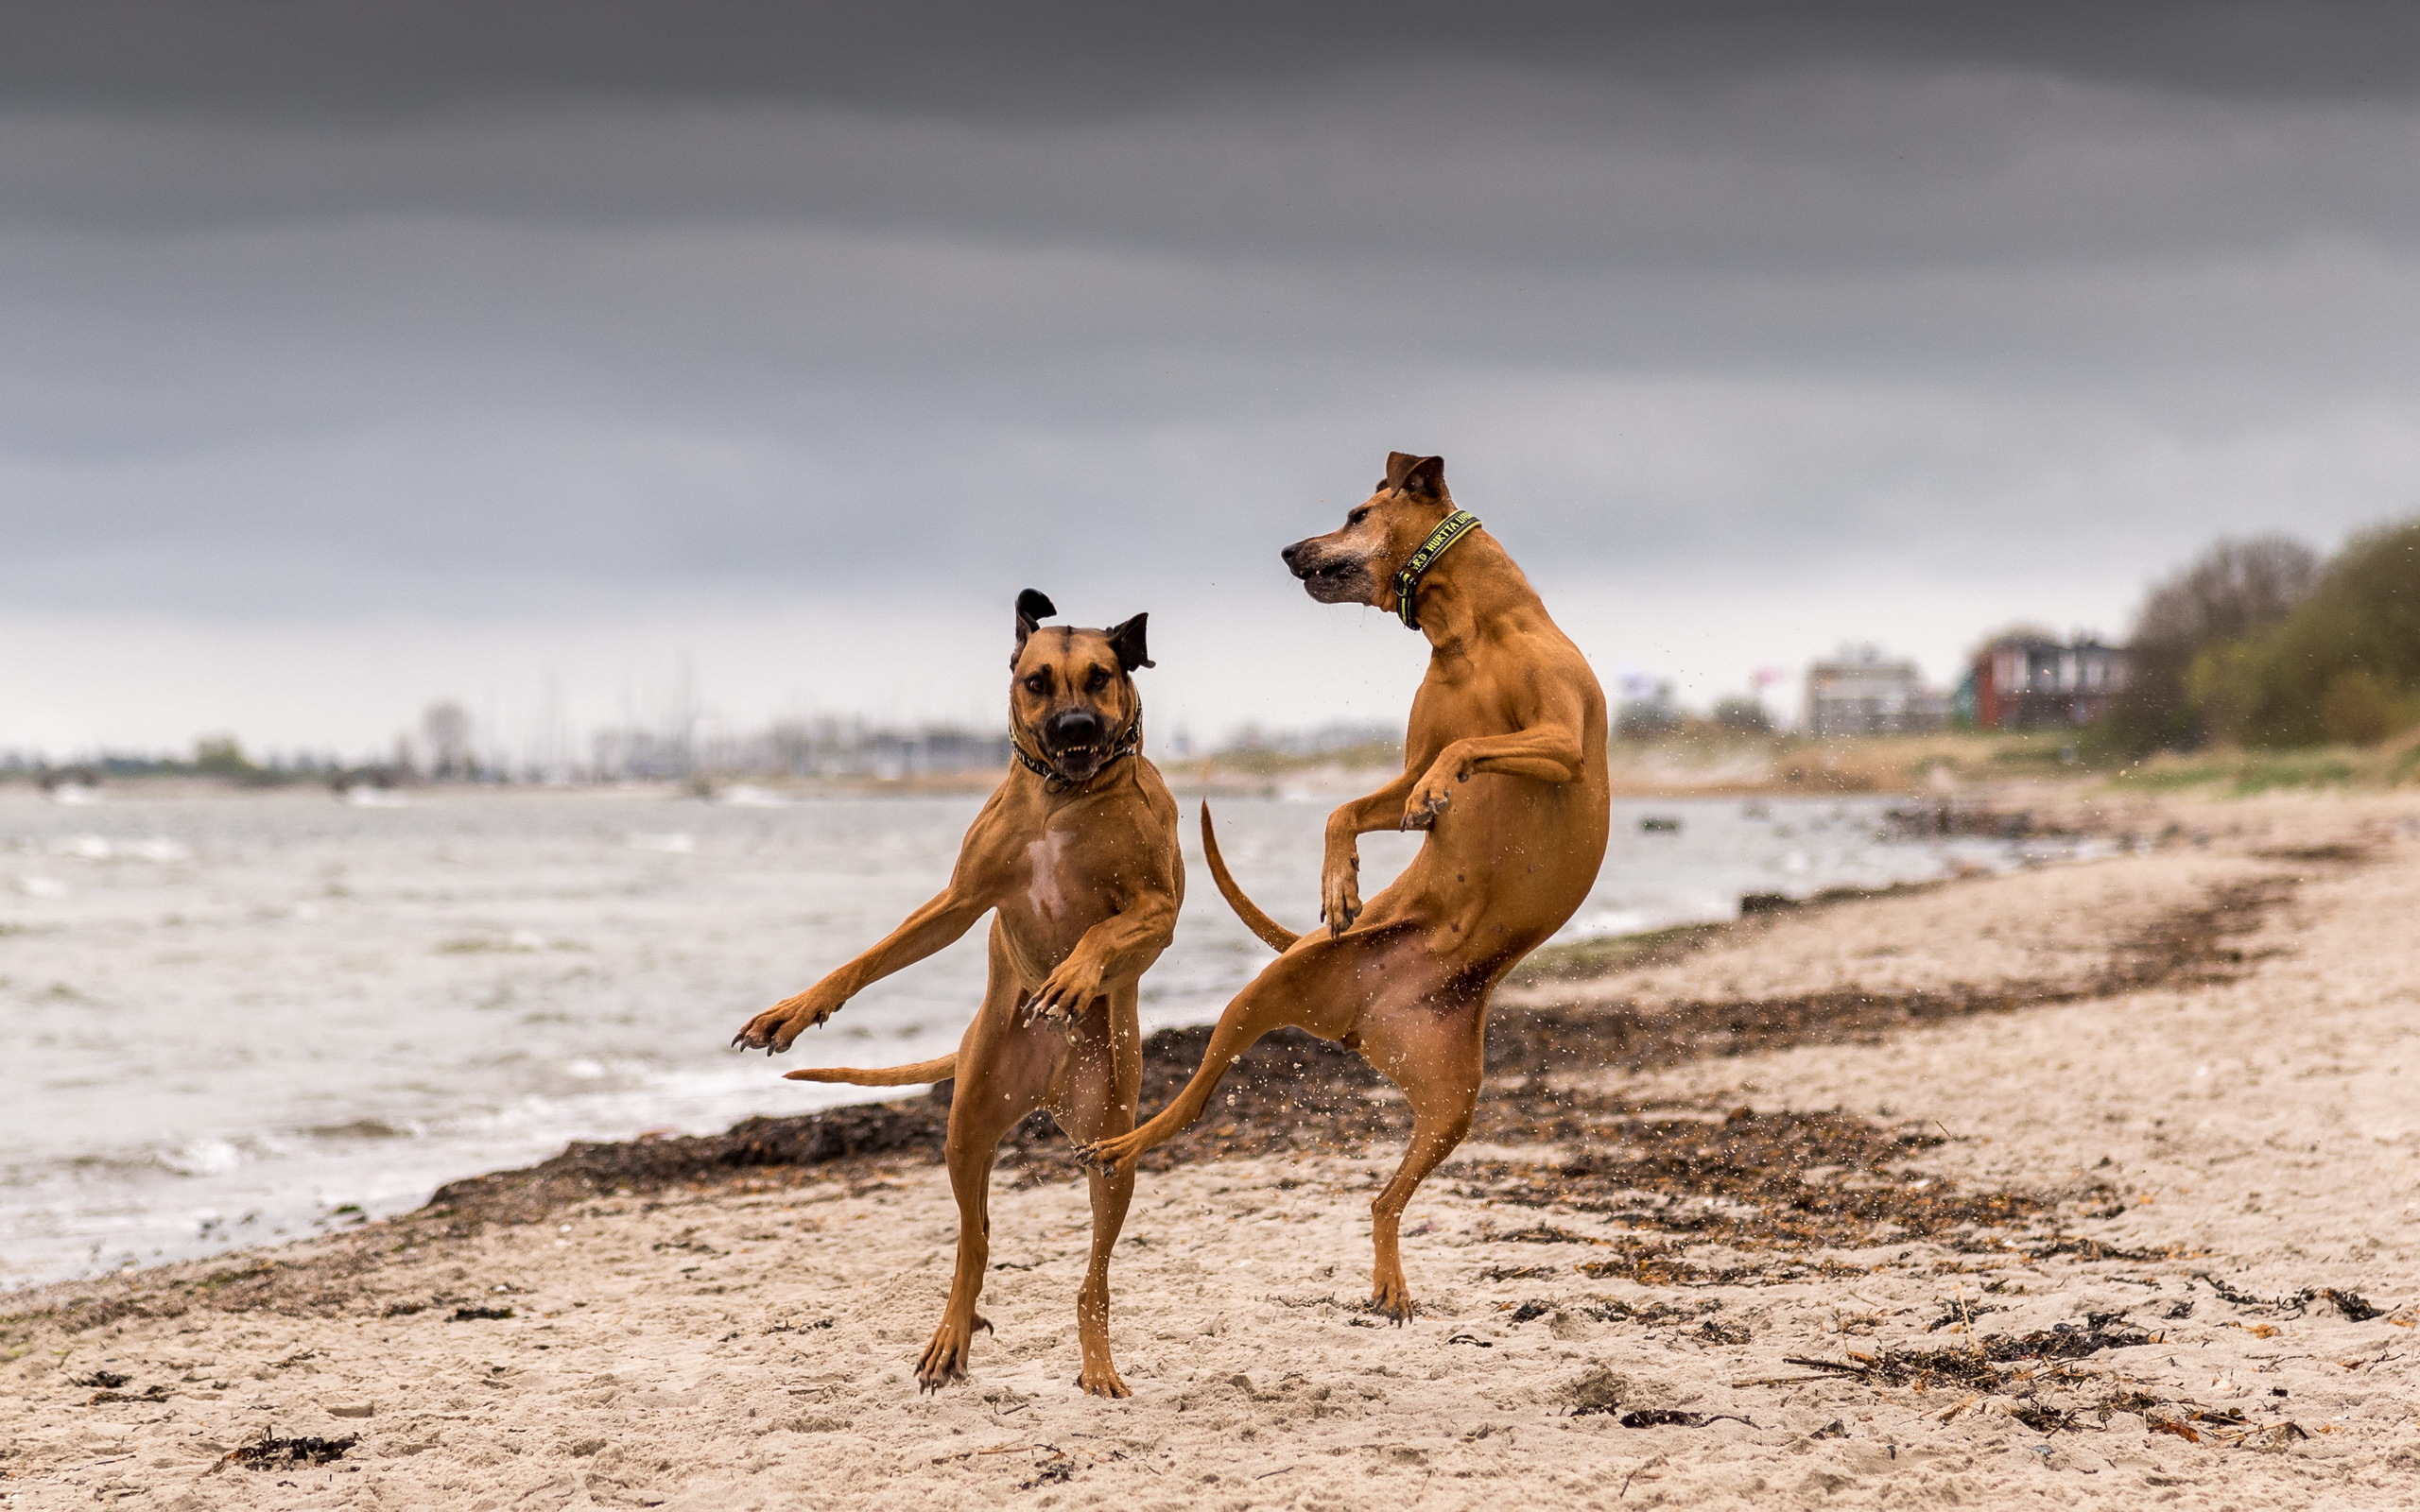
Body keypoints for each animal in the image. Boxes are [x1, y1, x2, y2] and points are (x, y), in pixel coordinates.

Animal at [735, 590, 1190, 1393]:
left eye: (1101, 678)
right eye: (1038, 682)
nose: (1075, 727)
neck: (1062, 799)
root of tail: (1047, 1085)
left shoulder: (1161, 910)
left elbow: (1105, 935)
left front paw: (1073, 977)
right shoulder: (957, 900)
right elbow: (867, 960)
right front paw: (793, 1012)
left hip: (1111, 1140)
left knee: (1093, 1279)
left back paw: (1096, 1361)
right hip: (967, 1123)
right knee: (974, 1239)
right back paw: (954, 1331)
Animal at [1079, 455, 1606, 1315]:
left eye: (1357, 513)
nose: (1290, 551)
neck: (1470, 632)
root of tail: (1365, 1022)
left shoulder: (1560, 742)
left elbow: (1464, 747)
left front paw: (1435, 799)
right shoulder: (1409, 767)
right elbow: (1351, 806)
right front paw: (1341, 885)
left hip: (1453, 1102)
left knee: (1383, 1199)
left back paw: (1390, 1281)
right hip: (1267, 995)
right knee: (1194, 1100)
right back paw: (1126, 1140)